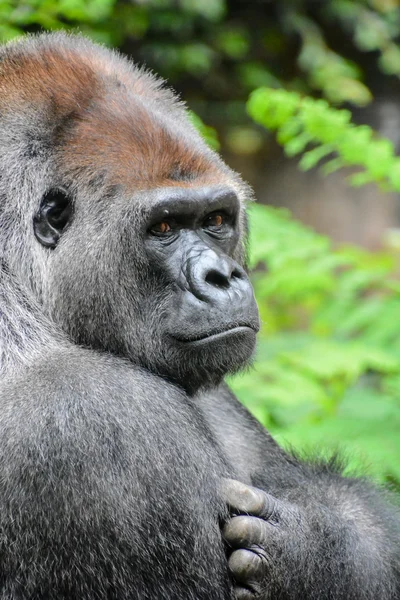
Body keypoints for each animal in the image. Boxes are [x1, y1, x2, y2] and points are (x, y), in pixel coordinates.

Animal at [0, 31, 398, 600]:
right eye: (164, 227)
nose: (223, 277)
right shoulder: (99, 418)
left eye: (216, 220)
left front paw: (321, 544)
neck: (23, 288)